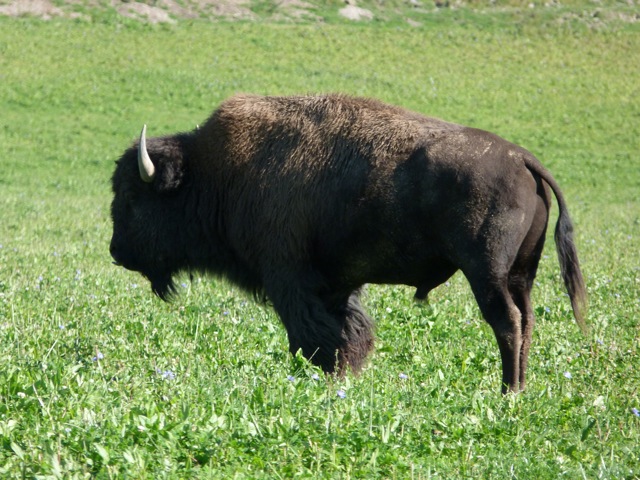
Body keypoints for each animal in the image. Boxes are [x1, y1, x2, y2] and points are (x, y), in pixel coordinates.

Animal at [110, 94, 587, 393]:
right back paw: (519, 387)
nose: (116, 252)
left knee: (506, 322)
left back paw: (508, 391)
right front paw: (346, 373)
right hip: (520, 273)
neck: (216, 172)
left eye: (133, 196)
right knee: (526, 319)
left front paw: (323, 375)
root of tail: (522, 159)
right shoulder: (337, 286)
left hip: (485, 272)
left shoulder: (290, 279)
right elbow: (348, 331)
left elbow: (312, 334)